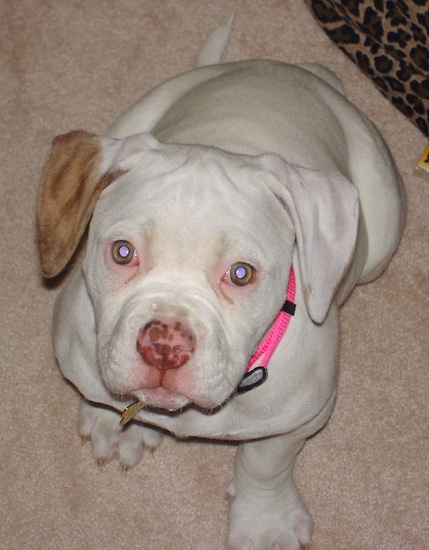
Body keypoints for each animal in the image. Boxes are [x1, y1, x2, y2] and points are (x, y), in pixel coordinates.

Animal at [36, 18, 404, 550]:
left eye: (241, 274)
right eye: (122, 252)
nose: (164, 345)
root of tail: (296, 69)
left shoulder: (300, 418)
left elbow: (266, 464)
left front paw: (265, 521)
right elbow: (100, 391)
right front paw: (116, 421)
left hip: (382, 226)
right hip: (140, 111)